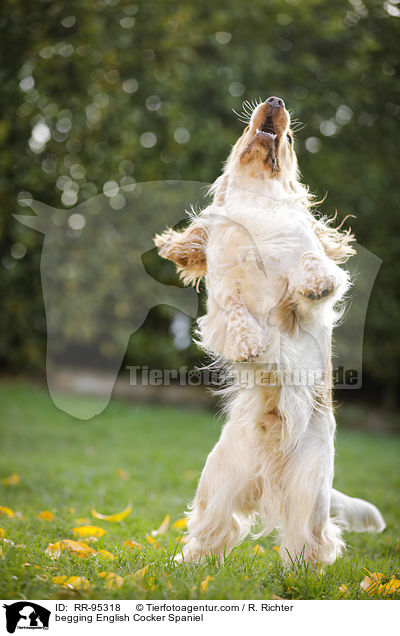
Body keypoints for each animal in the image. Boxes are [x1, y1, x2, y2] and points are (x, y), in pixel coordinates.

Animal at [154, 95, 384, 568]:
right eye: (246, 129)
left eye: (290, 138)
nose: (276, 101)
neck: (258, 202)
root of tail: (266, 477)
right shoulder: (223, 294)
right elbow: (237, 313)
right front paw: (249, 346)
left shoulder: (303, 302)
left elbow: (312, 262)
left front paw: (315, 280)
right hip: (219, 484)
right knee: (210, 532)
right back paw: (188, 567)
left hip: (310, 495)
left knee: (312, 541)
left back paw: (302, 575)